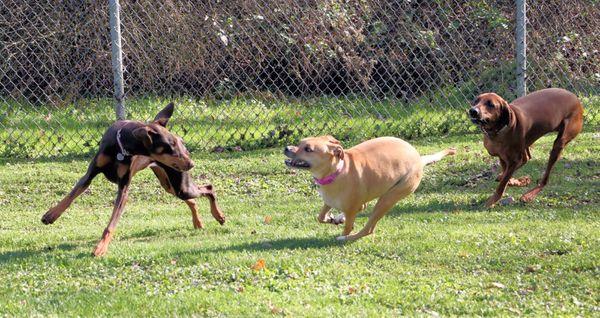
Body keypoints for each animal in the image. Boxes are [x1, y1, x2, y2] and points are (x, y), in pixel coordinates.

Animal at [41, 103, 225, 258]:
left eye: (180, 142)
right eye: (171, 146)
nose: (192, 163)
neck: (121, 148)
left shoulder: (124, 187)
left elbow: (111, 224)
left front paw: (100, 248)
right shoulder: (90, 174)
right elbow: (70, 196)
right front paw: (51, 215)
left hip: (179, 183)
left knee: (209, 188)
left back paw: (219, 216)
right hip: (170, 185)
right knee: (192, 199)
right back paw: (198, 222)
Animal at [286, 135, 454, 240]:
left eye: (308, 149)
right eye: (300, 143)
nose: (286, 148)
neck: (337, 171)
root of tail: (418, 157)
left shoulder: (351, 208)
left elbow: (348, 225)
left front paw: (343, 230)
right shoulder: (329, 201)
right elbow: (320, 217)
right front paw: (332, 218)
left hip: (388, 199)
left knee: (368, 229)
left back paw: (346, 238)